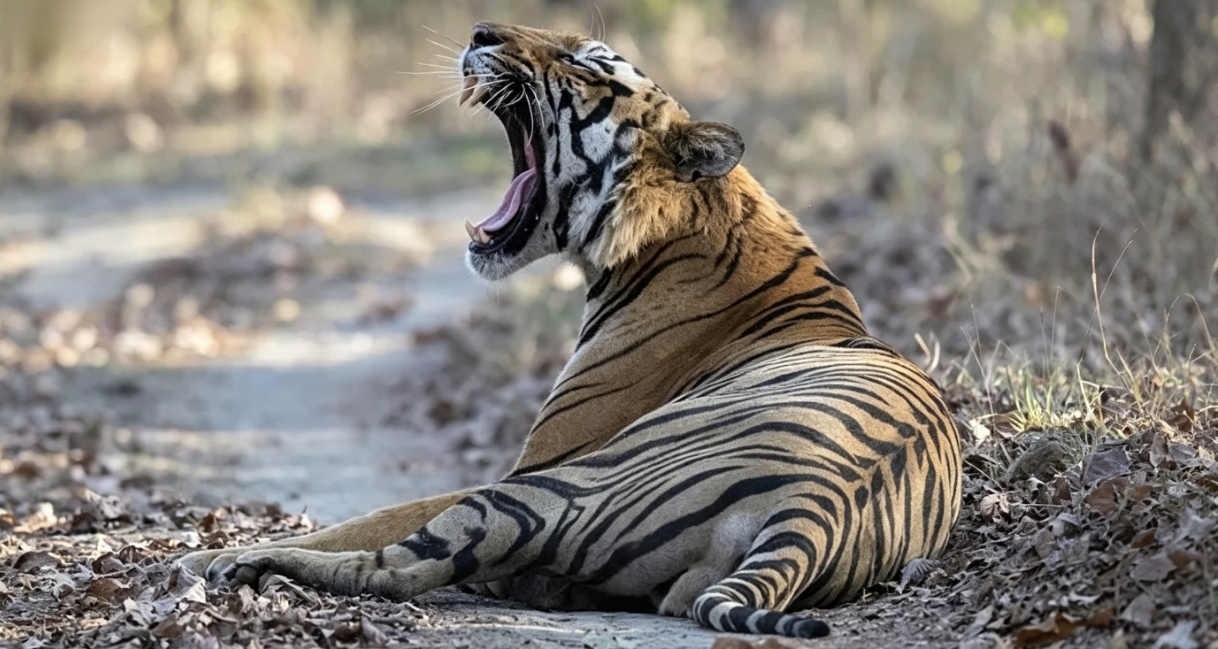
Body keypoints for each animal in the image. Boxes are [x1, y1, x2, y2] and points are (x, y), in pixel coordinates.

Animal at [178, 22, 962, 638]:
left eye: (585, 63)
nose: (480, 31)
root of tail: (815, 510)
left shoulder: (534, 463)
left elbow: (372, 516)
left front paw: (196, 553)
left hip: (547, 490)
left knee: (393, 567)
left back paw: (239, 562)